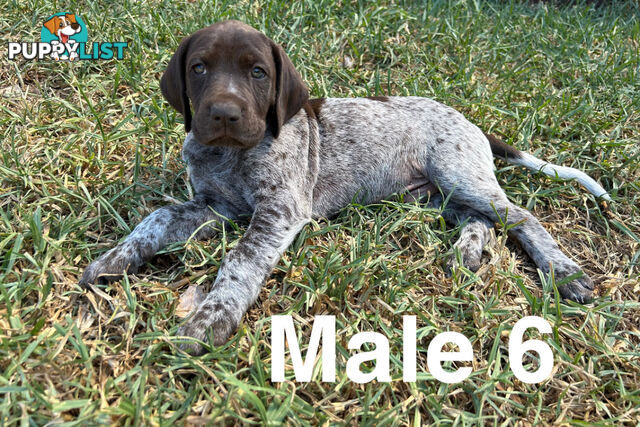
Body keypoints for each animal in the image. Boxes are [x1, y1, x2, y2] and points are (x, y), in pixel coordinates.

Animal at [79, 20, 608, 354]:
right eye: (199, 68)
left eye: (258, 72)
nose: (224, 114)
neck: (230, 155)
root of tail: (472, 124)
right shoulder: (212, 206)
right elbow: (157, 217)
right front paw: (115, 258)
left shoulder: (278, 213)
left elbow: (239, 262)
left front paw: (211, 318)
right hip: (438, 194)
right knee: (481, 220)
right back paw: (466, 253)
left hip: (459, 175)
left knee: (521, 217)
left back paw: (564, 272)